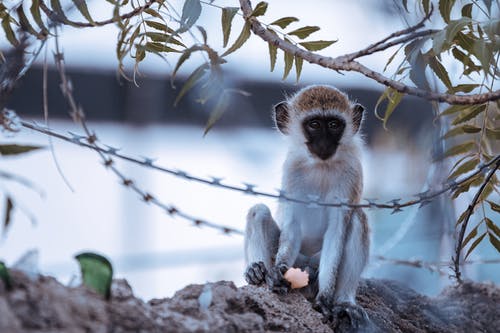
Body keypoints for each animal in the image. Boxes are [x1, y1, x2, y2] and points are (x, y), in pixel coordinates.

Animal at [244, 84, 370, 326]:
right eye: (314, 125)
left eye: (333, 125)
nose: (324, 144)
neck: (321, 165)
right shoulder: (292, 170)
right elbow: (292, 227)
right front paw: (278, 272)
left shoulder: (352, 171)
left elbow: (337, 231)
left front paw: (325, 298)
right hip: (300, 262)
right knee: (259, 211)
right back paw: (257, 271)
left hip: (314, 266)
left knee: (358, 219)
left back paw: (345, 302)